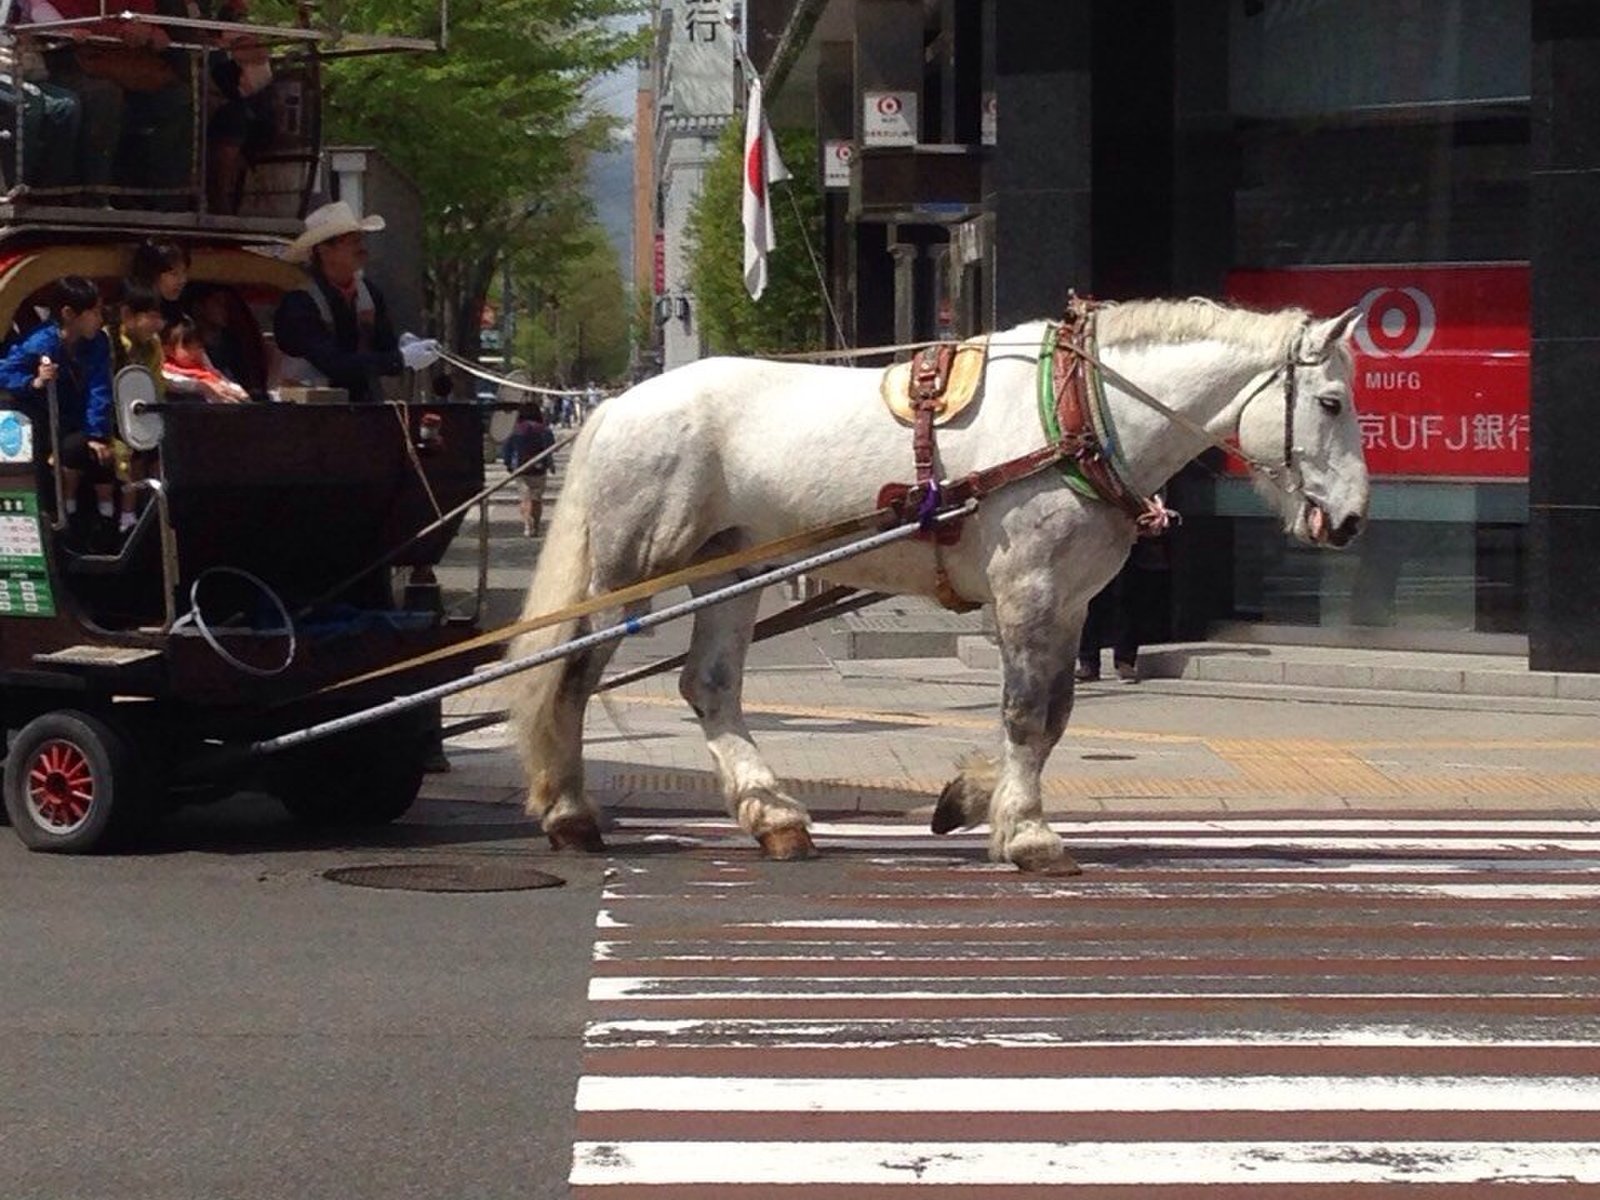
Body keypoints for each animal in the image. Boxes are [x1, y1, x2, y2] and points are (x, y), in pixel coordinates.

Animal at [505, 299, 1369, 876]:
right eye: (1331, 402)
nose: (1353, 520)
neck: (1080, 416)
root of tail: (616, 403)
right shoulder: (1028, 588)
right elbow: (1025, 714)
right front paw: (1027, 832)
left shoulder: (1071, 603)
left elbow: (1054, 717)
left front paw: (973, 798)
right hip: (631, 566)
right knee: (573, 675)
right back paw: (572, 813)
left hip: (735, 567)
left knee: (708, 686)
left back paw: (773, 815)